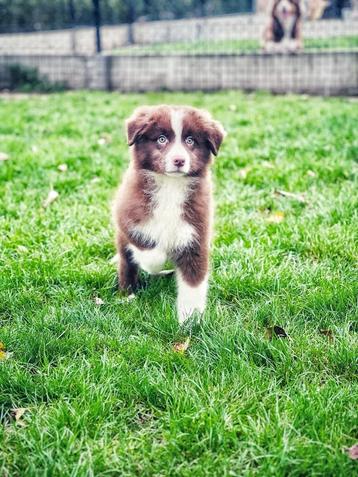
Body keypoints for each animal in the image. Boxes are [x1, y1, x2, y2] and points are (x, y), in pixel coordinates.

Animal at [113, 105, 225, 324]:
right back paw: (128, 294)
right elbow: (149, 250)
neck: (171, 187)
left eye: (190, 141)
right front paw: (156, 264)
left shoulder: (195, 236)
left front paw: (191, 319)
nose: (179, 160)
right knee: (127, 263)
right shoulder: (127, 217)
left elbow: (193, 284)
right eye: (161, 139)